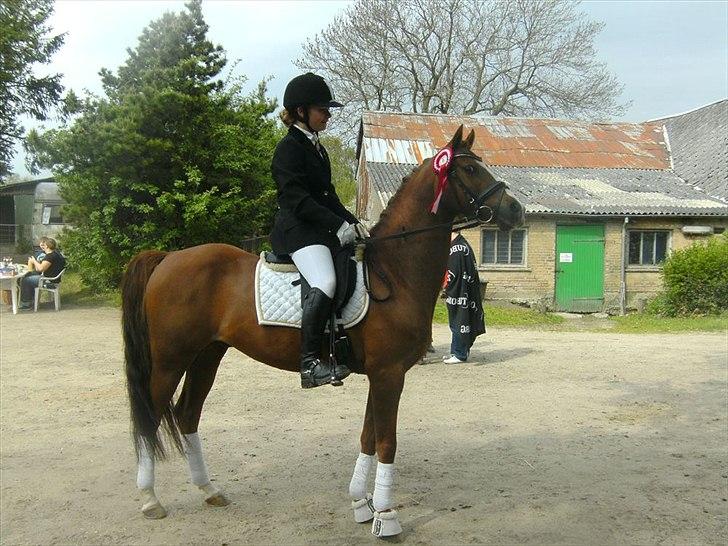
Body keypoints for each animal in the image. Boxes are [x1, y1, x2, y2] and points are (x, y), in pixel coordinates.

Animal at [121, 125, 525, 536]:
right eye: (471, 170)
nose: (516, 210)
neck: (393, 271)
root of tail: (167, 258)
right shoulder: (389, 374)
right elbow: (387, 441)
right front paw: (386, 517)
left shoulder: (380, 374)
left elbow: (368, 437)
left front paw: (361, 505)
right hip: (170, 360)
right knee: (150, 417)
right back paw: (150, 499)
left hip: (207, 356)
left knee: (187, 415)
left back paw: (209, 490)